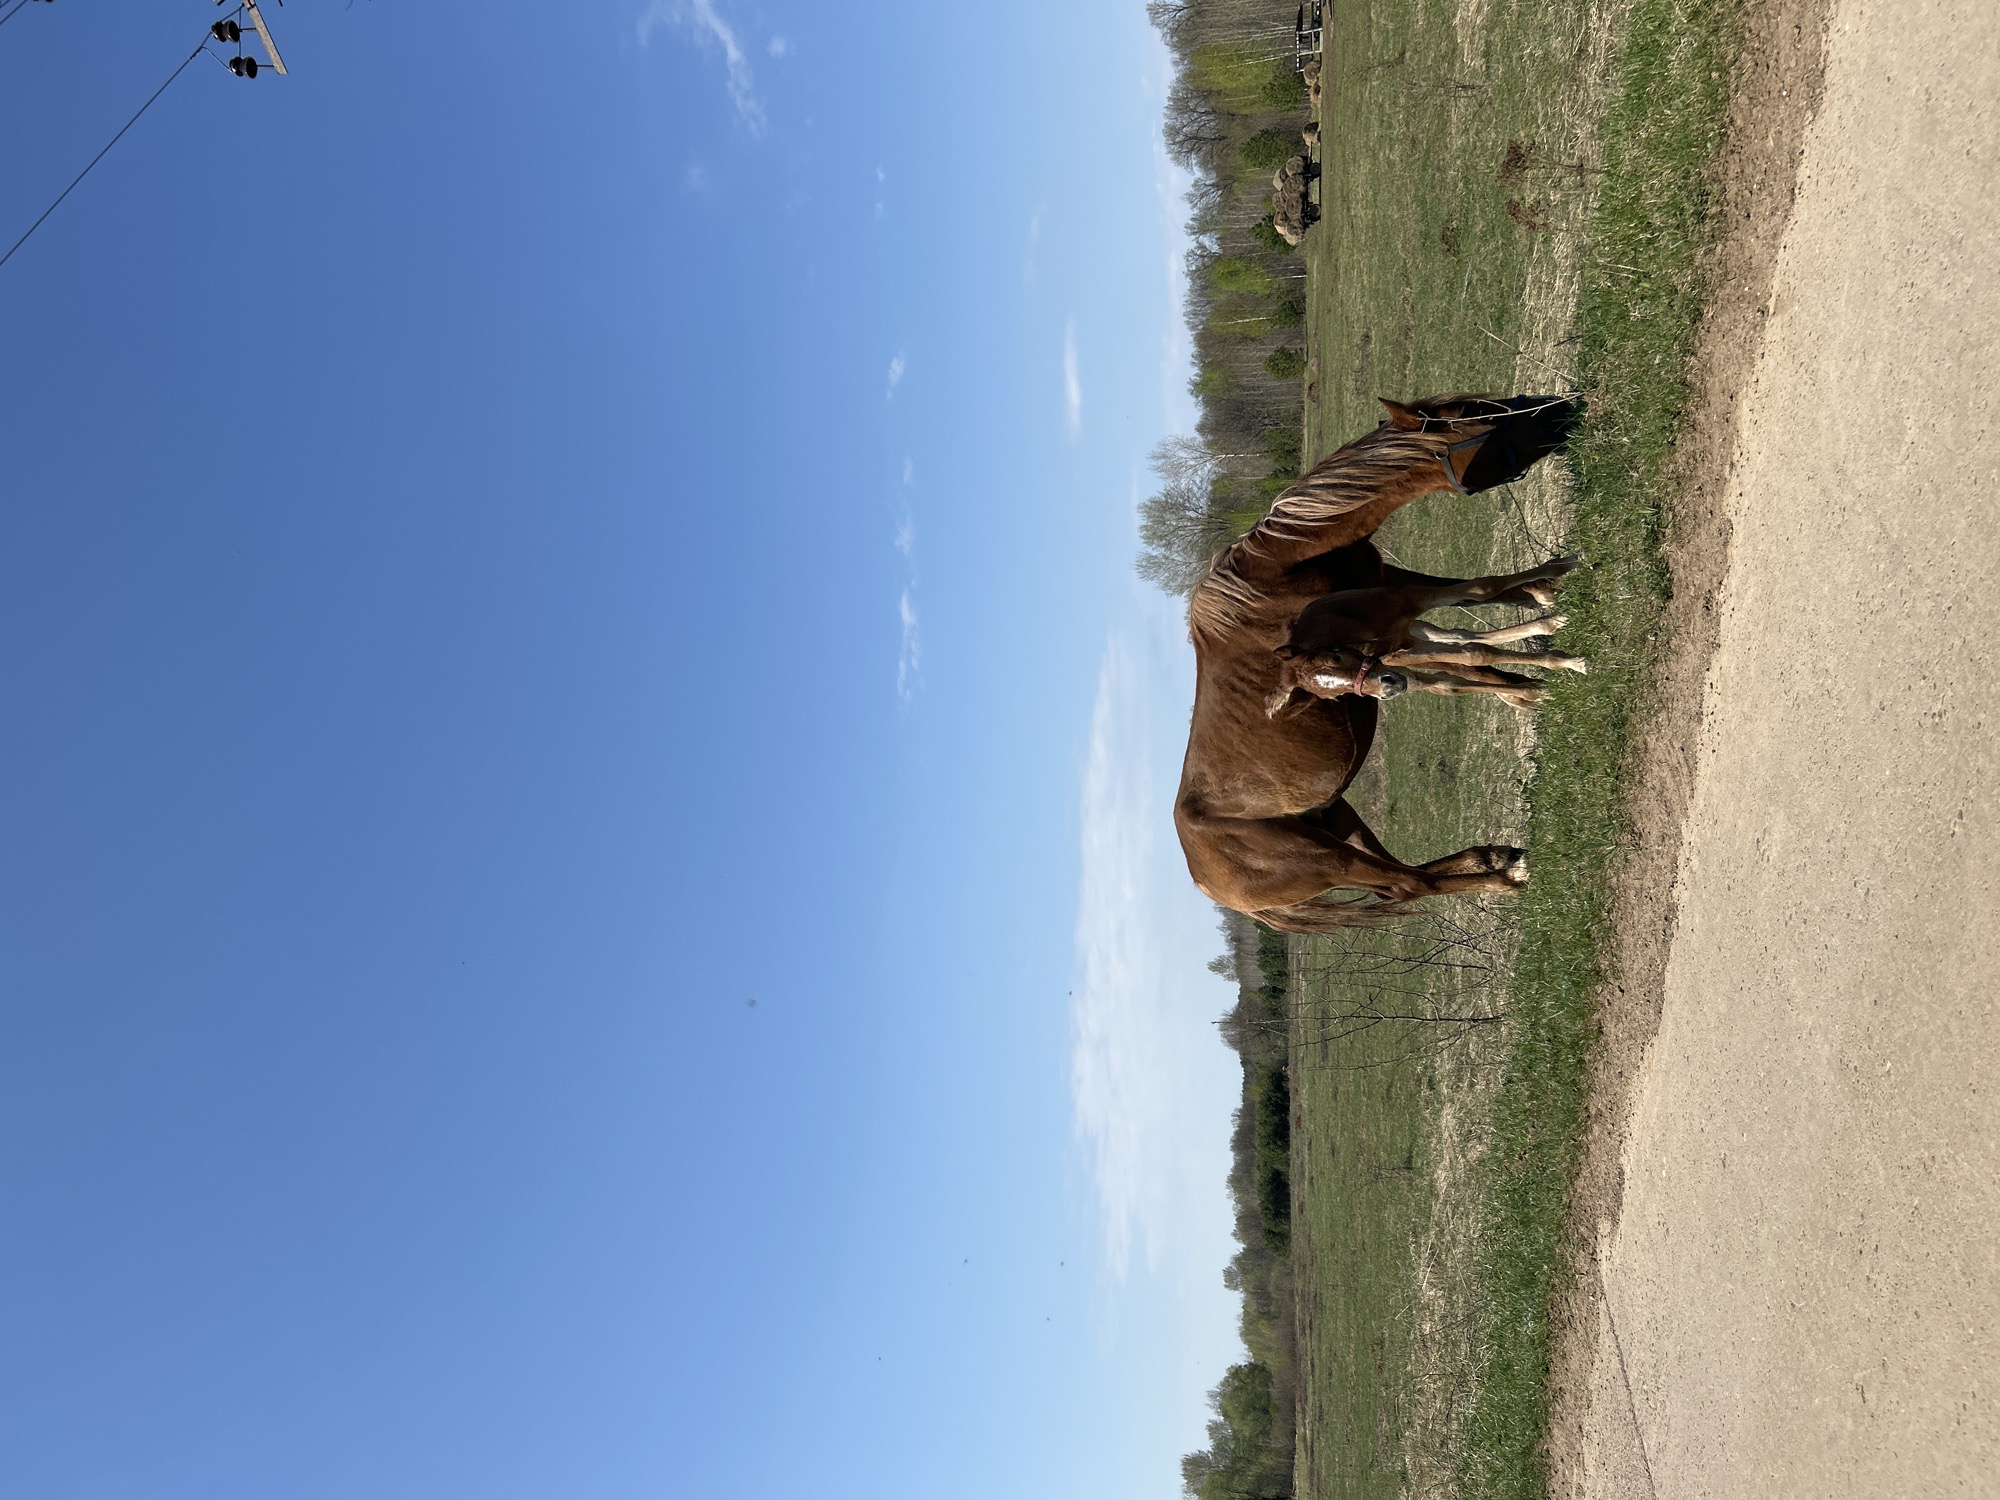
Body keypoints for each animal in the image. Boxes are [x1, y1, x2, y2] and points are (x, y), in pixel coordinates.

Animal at [1173, 393, 1579, 933]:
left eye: (1472, 404)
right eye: (1483, 420)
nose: (1561, 410)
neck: (1284, 570)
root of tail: (1209, 883)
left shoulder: (1391, 600)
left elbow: (1473, 622)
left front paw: (1544, 605)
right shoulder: (1391, 632)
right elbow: (1468, 641)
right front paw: (1538, 672)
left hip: (1340, 820)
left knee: (1401, 876)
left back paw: (1491, 856)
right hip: (1329, 859)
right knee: (1410, 885)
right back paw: (1505, 877)